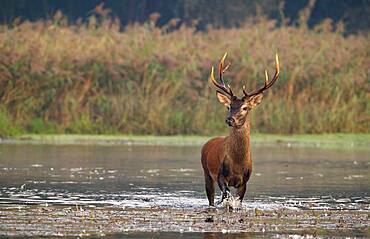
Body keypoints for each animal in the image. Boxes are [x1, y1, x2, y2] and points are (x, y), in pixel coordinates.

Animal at [201, 53, 278, 206]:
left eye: (245, 108)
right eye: (229, 106)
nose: (230, 119)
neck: (237, 164)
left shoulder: (244, 182)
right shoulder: (221, 176)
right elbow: (226, 196)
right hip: (206, 171)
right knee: (210, 198)